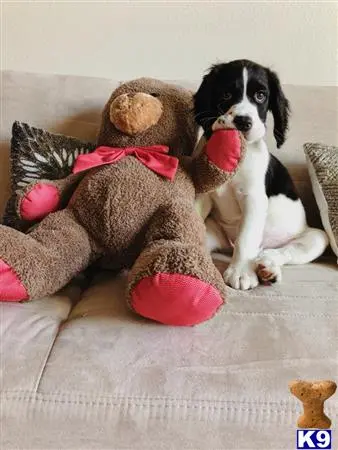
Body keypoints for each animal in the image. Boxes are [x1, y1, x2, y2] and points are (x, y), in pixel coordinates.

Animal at [194, 59, 328, 290]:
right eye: (226, 94)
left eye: (260, 96)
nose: (243, 121)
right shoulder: (204, 193)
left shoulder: (253, 198)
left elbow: (246, 236)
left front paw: (240, 273)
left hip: (316, 238)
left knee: (280, 251)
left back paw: (267, 267)